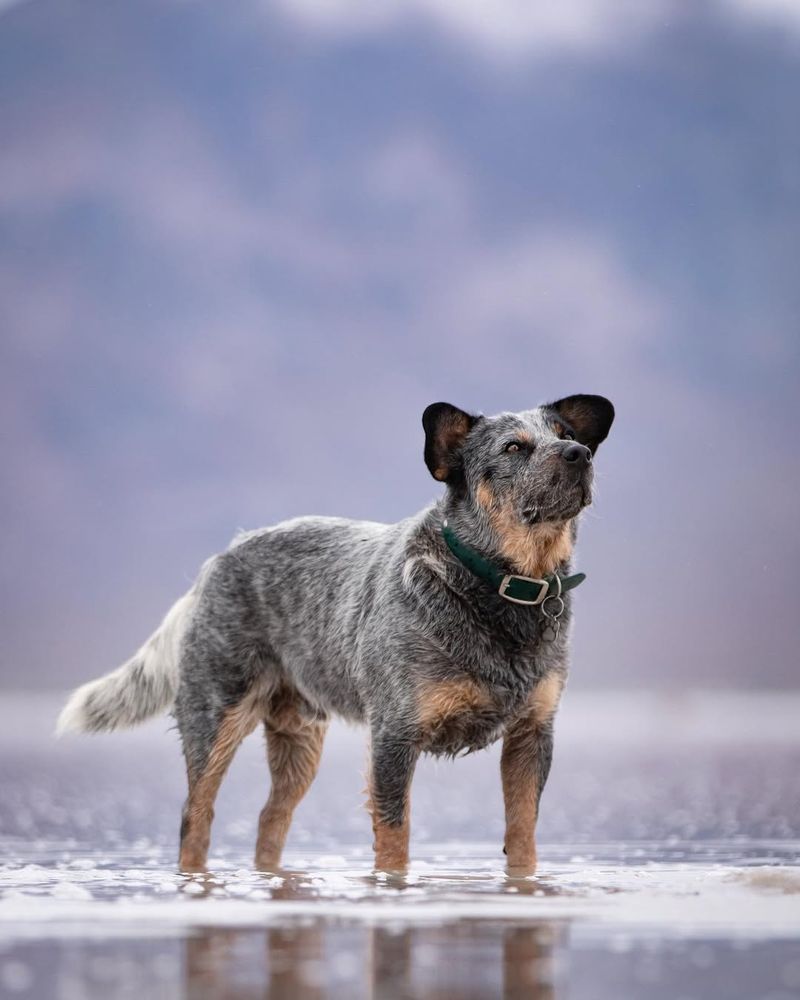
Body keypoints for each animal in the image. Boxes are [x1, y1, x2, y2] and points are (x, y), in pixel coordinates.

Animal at [59, 394, 616, 872]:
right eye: (514, 447)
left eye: (565, 434)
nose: (580, 453)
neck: (499, 586)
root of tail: (216, 562)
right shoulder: (394, 735)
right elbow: (394, 839)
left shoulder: (532, 735)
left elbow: (522, 836)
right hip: (216, 716)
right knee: (195, 817)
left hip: (300, 738)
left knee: (271, 820)